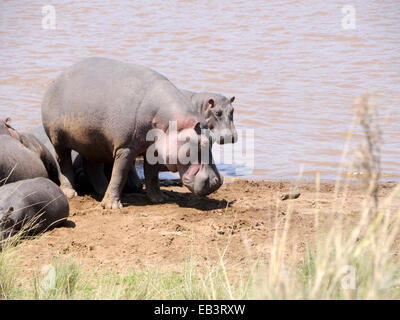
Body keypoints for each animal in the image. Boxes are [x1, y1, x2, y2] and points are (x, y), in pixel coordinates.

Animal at [41, 56, 223, 209]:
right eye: (201, 143)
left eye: (212, 140)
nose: (217, 182)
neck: (170, 122)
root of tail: (55, 79)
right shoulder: (125, 147)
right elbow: (119, 174)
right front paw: (113, 207)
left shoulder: (153, 149)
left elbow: (152, 175)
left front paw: (159, 199)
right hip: (59, 140)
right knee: (63, 163)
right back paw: (71, 193)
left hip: (94, 143)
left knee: (92, 167)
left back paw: (102, 191)